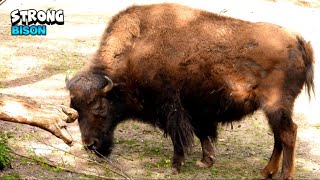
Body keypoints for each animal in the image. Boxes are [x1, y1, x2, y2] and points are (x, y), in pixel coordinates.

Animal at [66, 3, 314, 180]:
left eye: (99, 106)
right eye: (75, 109)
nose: (90, 146)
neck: (134, 50)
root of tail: (298, 41)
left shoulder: (173, 109)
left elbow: (180, 137)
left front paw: (175, 166)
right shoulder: (196, 111)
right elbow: (202, 134)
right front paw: (206, 160)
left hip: (276, 106)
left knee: (288, 133)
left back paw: (284, 175)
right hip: (274, 110)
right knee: (279, 136)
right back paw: (266, 172)